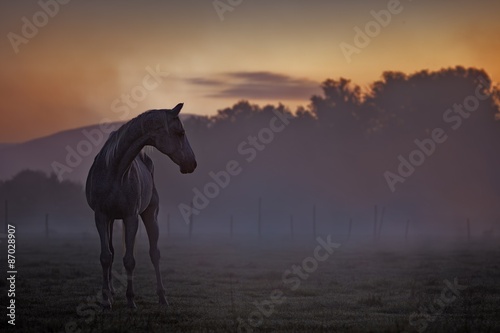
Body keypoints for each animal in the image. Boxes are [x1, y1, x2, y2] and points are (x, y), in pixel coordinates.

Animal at [85, 102, 196, 308]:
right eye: (180, 133)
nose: (192, 163)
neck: (114, 169)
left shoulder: (131, 217)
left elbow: (129, 260)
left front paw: (130, 300)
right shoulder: (101, 216)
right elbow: (105, 257)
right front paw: (105, 299)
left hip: (150, 216)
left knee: (155, 253)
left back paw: (162, 298)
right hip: (111, 220)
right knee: (111, 252)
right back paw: (111, 292)